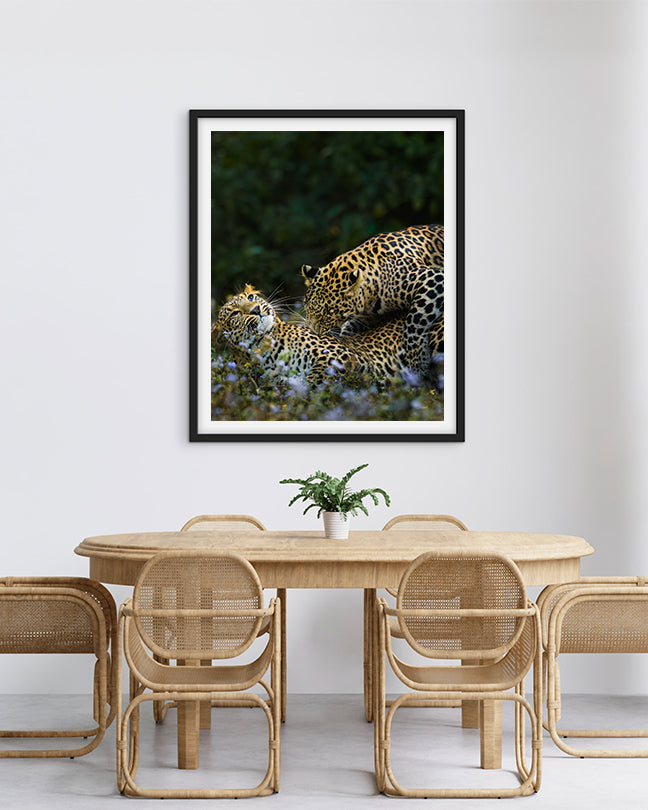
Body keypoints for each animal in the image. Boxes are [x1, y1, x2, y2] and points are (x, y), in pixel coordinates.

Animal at [212, 285, 443, 387]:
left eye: (251, 297)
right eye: (235, 314)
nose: (256, 310)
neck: (267, 348)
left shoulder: (342, 355)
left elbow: (316, 377)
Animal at [300, 224, 444, 373]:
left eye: (329, 312)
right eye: (306, 307)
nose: (313, 333)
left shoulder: (433, 279)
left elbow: (414, 324)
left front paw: (416, 362)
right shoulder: (366, 318)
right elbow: (350, 330)